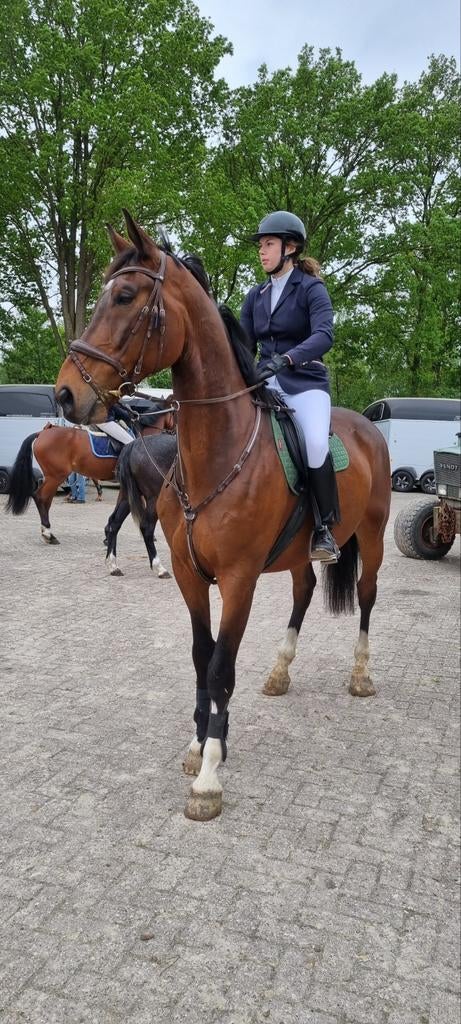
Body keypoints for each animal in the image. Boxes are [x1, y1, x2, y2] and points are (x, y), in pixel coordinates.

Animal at [5, 399, 174, 552]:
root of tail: (43, 432)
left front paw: (107, 533)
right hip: (56, 476)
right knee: (41, 497)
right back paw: (48, 534)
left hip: (53, 477)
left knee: (45, 499)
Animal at [55, 211, 392, 822]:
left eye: (124, 296)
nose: (66, 395)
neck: (218, 450)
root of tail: (366, 425)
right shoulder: (191, 577)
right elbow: (200, 657)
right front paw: (200, 743)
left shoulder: (238, 580)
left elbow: (221, 668)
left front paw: (210, 775)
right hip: (297, 553)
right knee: (304, 591)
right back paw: (280, 672)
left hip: (373, 536)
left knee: (367, 595)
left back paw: (360, 675)